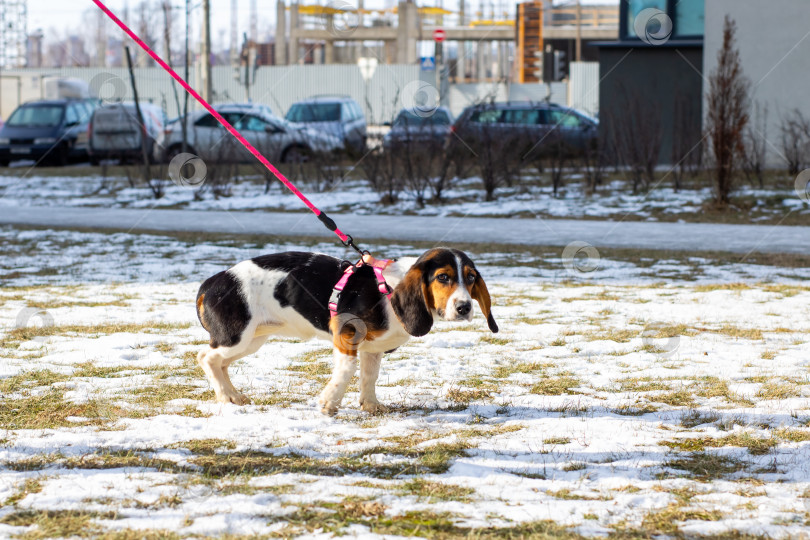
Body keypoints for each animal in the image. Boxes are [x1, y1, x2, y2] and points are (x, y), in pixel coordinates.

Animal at [196, 247, 498, 416]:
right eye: (443, 277)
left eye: (471, 278)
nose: (464, 307)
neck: (389, 290)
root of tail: (211, 282)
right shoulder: (345, 334)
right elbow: (347, 370)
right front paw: (329, 403)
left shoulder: (372, 348)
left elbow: (369, 376)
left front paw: (371, 405)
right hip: (238, 337)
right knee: (206, 358)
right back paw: (224, 396)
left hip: (251, 341)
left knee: (220, 364)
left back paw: (234, 396)